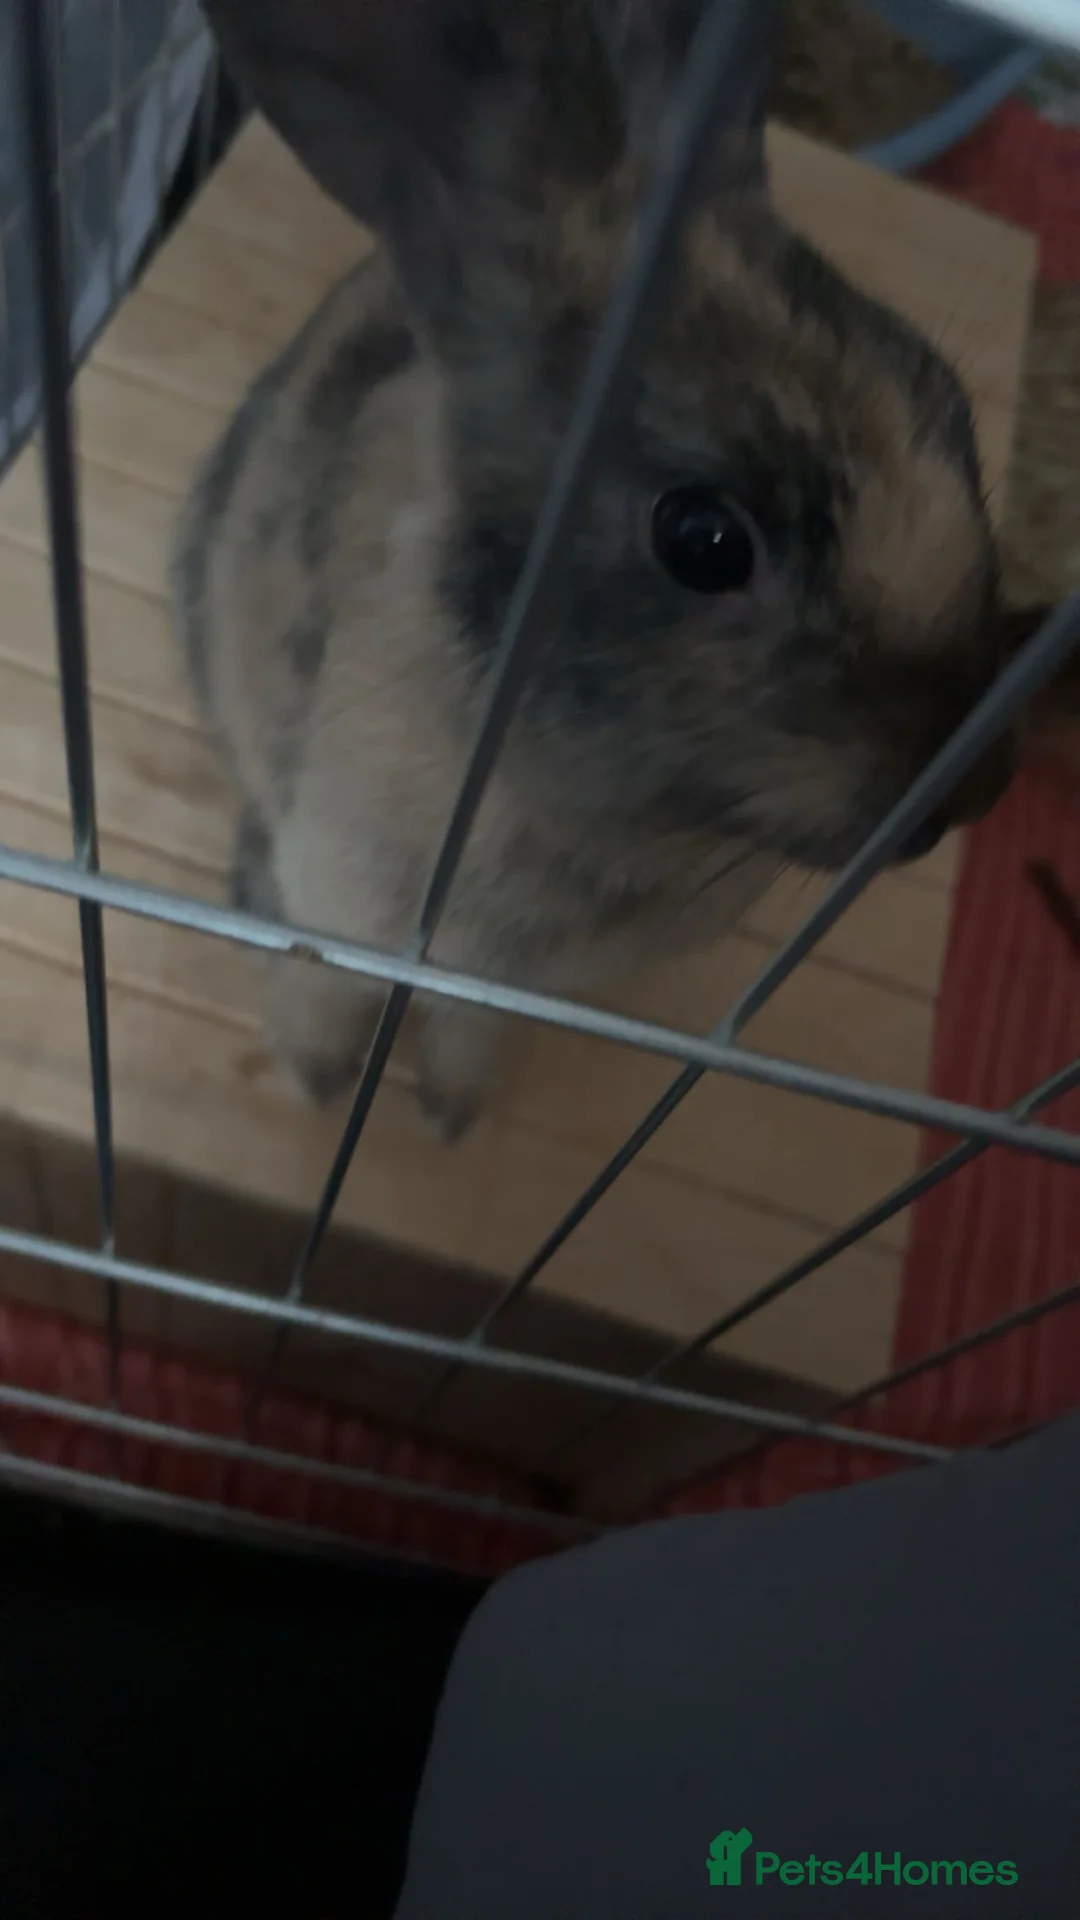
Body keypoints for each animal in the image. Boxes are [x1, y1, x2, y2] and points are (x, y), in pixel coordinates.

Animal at [174, 0, 1016, 1143]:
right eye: (702, 540)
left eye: (947, 403)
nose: (979, 788)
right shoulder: (343, 903)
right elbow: (324, 990)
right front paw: (313, 1085)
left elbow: (470, 1030)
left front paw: (450, 1116)